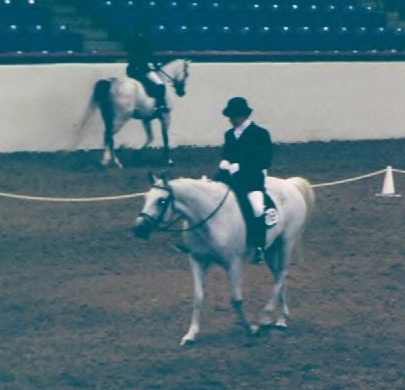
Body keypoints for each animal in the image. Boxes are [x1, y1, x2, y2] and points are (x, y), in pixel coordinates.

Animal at [133, 173, 316, 344]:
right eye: (146, 197)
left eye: (162, 201)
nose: (138, 229)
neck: (209, 218)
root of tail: (289, 184)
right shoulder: (197, 260)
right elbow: (198, 297)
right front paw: (191, 334)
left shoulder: (233, 263)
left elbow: (236, 299)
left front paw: (251, 329)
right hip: (271, 248)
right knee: (279, 276)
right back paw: (281, 319)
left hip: (286, 241)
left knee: (282, 273)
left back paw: (267, 316)